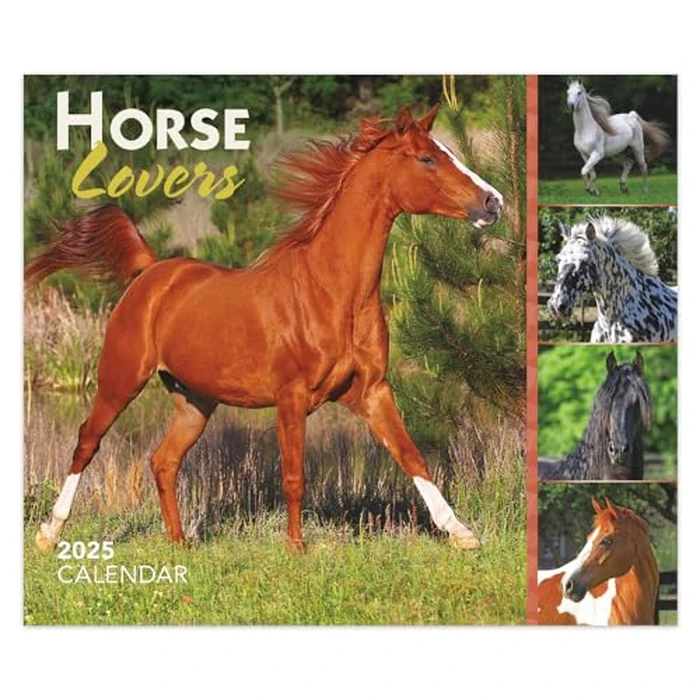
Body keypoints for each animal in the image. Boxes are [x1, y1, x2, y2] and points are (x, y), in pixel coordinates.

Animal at [26, 104, 504, 552]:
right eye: (427, 158)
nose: (493, 202)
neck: (332, 292)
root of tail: (151, 271)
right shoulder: (291, 397)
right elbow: (294, 476)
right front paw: (296, 548)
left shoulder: (372, 391)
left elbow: (412, 456)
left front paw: (462, 533)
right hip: (120, 380)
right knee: (87, 442)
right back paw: (49, 534)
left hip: (194, 401)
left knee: (163, 460)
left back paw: (180, 542)